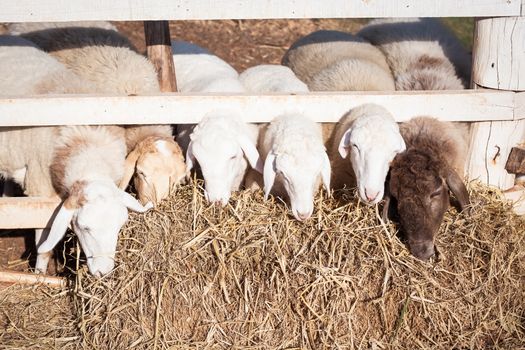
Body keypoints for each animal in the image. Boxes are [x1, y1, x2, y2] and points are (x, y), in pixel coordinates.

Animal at [0, 35, 152, 276]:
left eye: (119, 226)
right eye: (85, 227)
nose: (103, 272)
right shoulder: (40, 192)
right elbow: (45, 246)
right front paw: (40, 275)